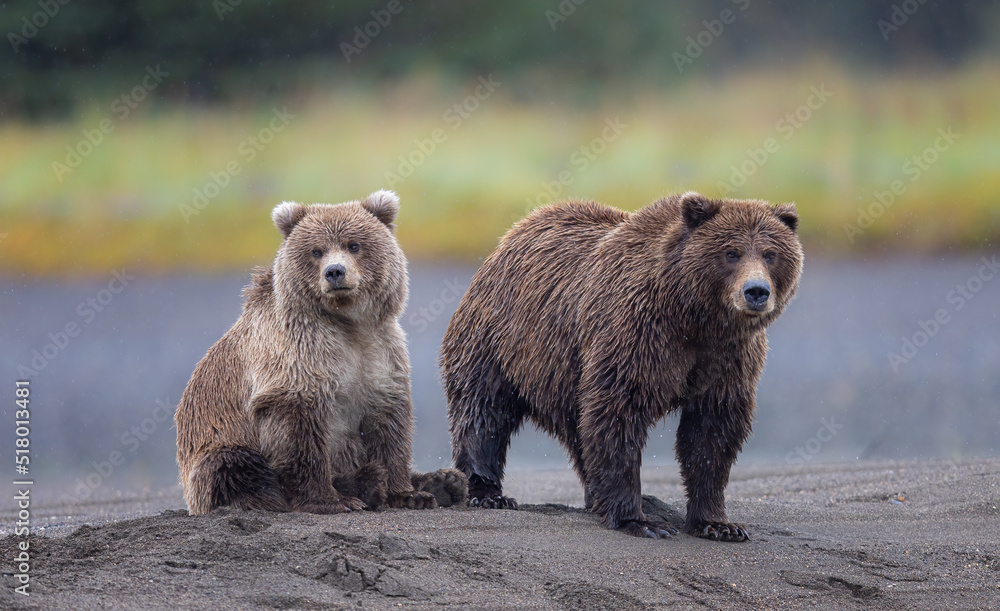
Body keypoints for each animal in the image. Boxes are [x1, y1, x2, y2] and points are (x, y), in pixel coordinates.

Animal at [176, 190, 467, 516]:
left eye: (354, 245)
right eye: (316, 251)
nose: (335, 272)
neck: (347, 324)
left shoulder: (381, 352)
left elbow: (388, 424)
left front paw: (408, 494)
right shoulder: (298, 354)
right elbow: (299, 429)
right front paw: (331, 500)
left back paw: (444, 482)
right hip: (214, 447)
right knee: (235, 467)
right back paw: (363, 484)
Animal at [441, 192, 802, 540]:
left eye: (770, 254)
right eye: (731, 253)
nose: (756, 291)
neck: (694, 318)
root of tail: (512, 234)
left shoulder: (728, 358)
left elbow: (712, 432)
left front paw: (718, 524)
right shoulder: (638, 333)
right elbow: (619, 413)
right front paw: (640, 521)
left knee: (578, 428)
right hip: (500, 340)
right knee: (484, 411)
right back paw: (488, 492)